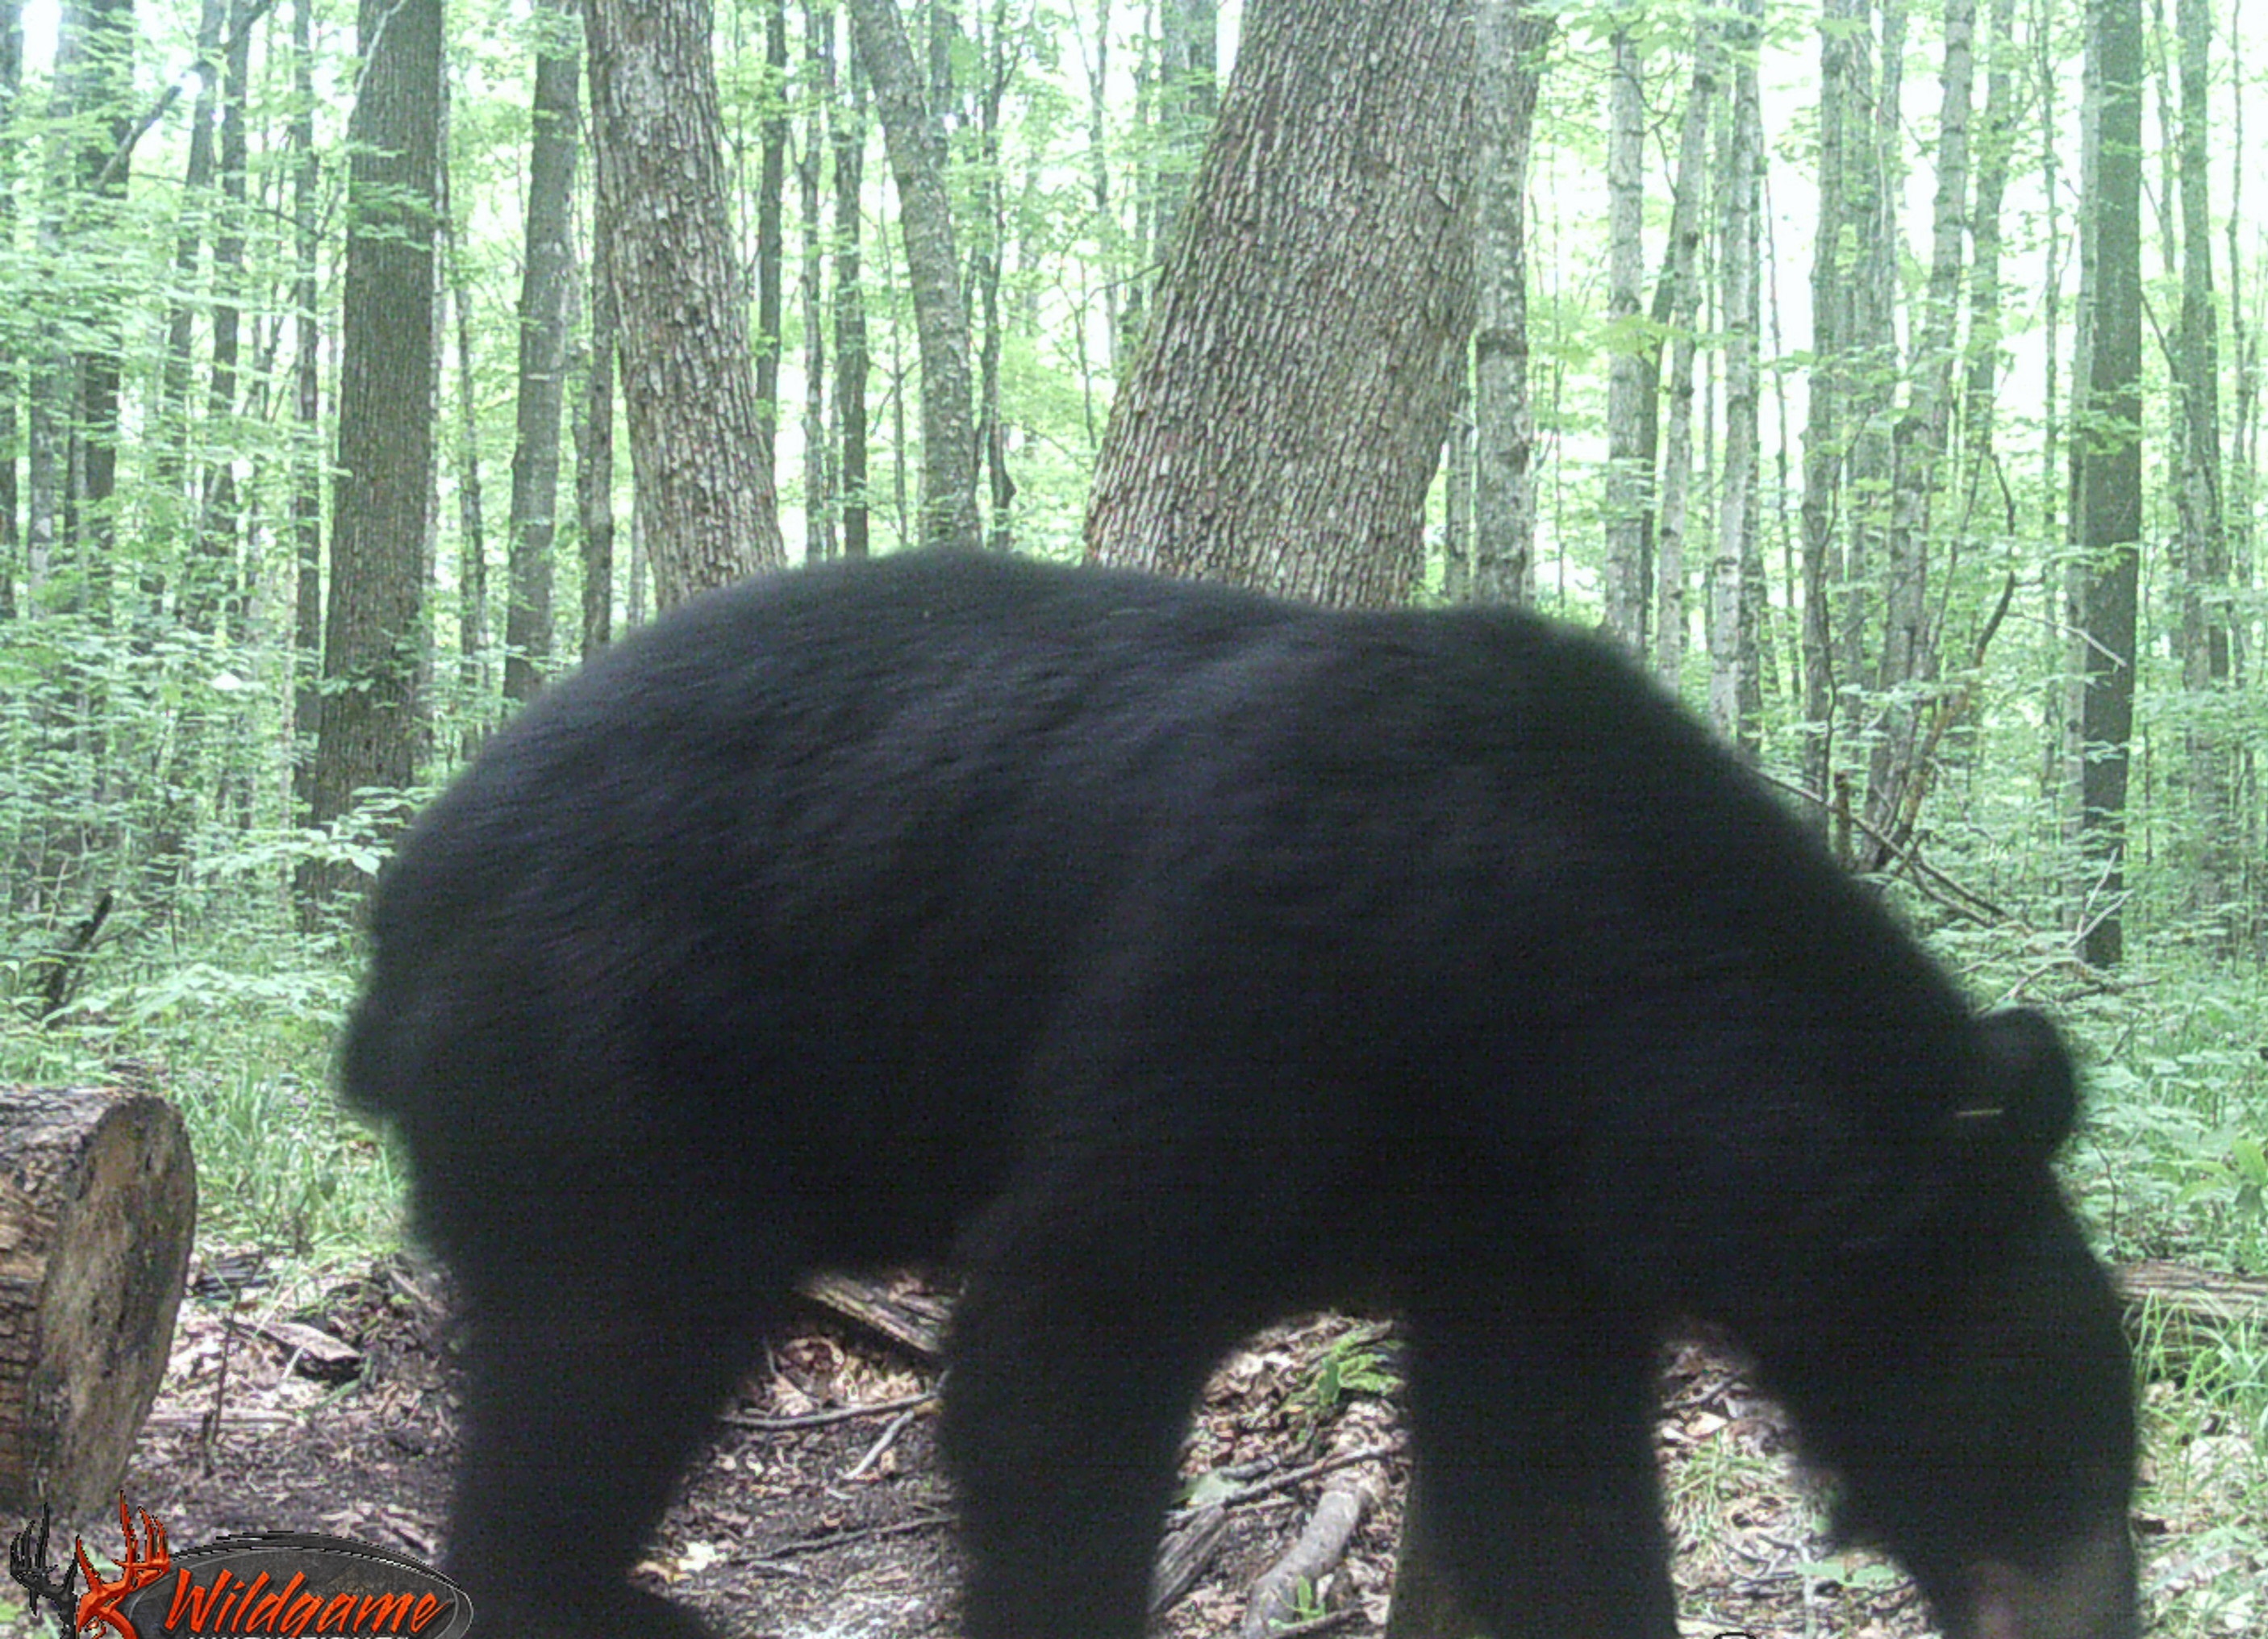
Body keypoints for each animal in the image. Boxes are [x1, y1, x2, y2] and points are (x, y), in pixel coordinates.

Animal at [339, 549, 2136, 1639]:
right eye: (2064, 1449)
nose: (2102, 1610)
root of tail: (403, 888)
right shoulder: (1252, 979)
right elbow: (1067, 1329)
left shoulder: (1524, 1216)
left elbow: (1545, 1472)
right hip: (599, 1055)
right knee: (607, 1340)